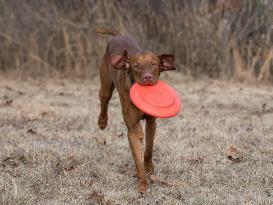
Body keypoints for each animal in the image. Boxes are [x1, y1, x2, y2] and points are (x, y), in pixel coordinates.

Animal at [95, 28, 174, 193]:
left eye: (154, 64)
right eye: (136, 66)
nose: (148, 77)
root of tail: (118, 35)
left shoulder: (152, 123)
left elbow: (148, 150)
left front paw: (150, 170)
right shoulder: (130, 129)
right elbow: (137, 157)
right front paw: (143, 183)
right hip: (106, 86)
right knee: (104, 100)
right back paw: (102, 121)